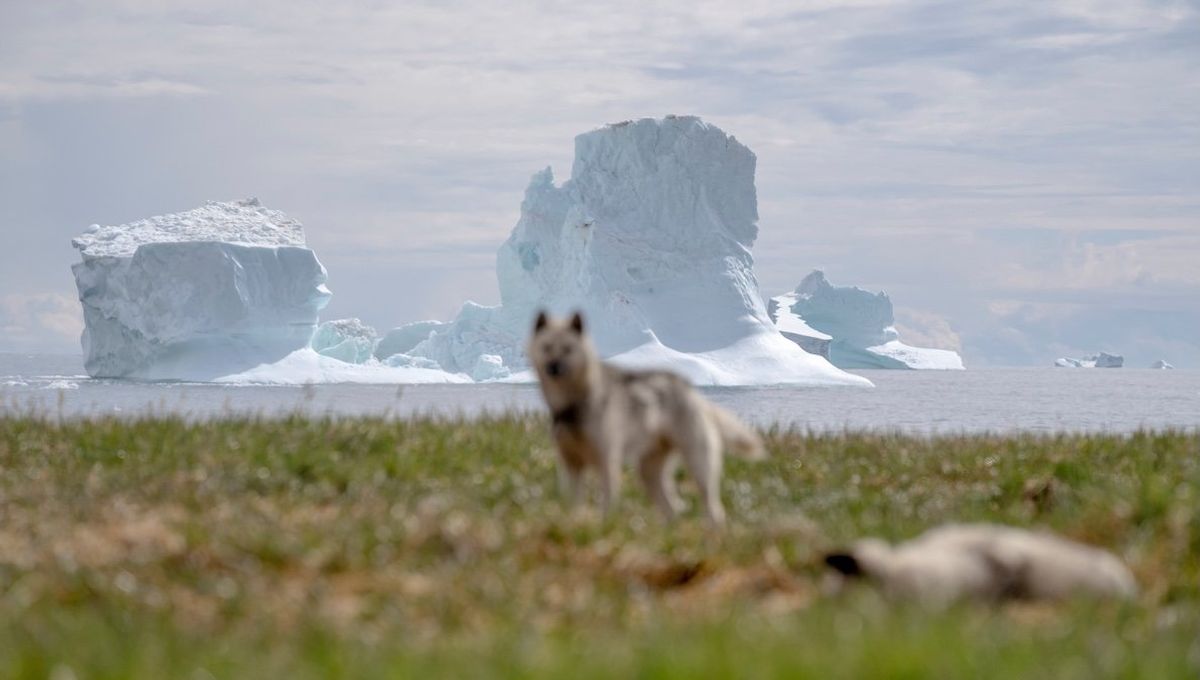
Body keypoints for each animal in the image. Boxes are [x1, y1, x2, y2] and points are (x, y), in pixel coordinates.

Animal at [530, 311, 763, 525]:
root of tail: (693, 393)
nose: (554, 367)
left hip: (698, 463)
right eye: (546, 347)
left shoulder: (607, 460)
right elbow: (572, 504)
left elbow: (608, 504)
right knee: (672, 509)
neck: (574, 404)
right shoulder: (569, 463)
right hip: (648, 471)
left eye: (568, 349)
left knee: (713, 509)